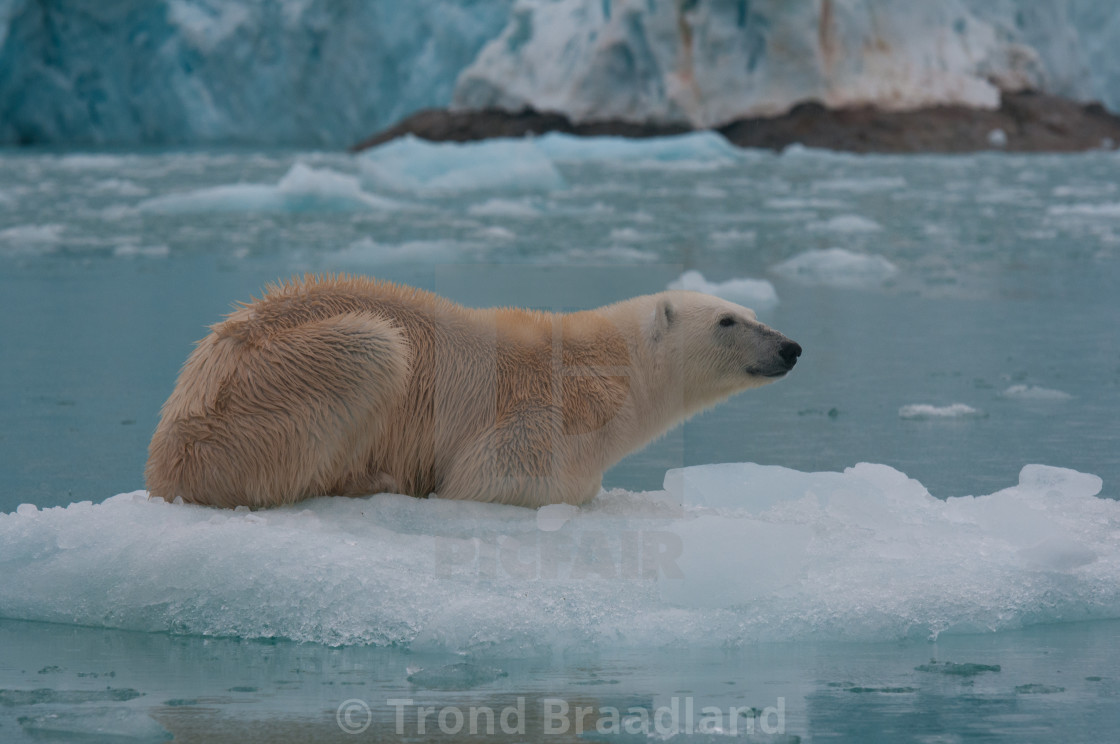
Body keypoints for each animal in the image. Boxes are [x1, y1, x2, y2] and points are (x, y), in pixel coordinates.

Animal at [146, 275, 797, 508]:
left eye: (751, 312)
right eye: (728, 321)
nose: (790, 347)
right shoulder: (537, 418)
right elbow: (496, 479)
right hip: (262, 393)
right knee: (372, 347)